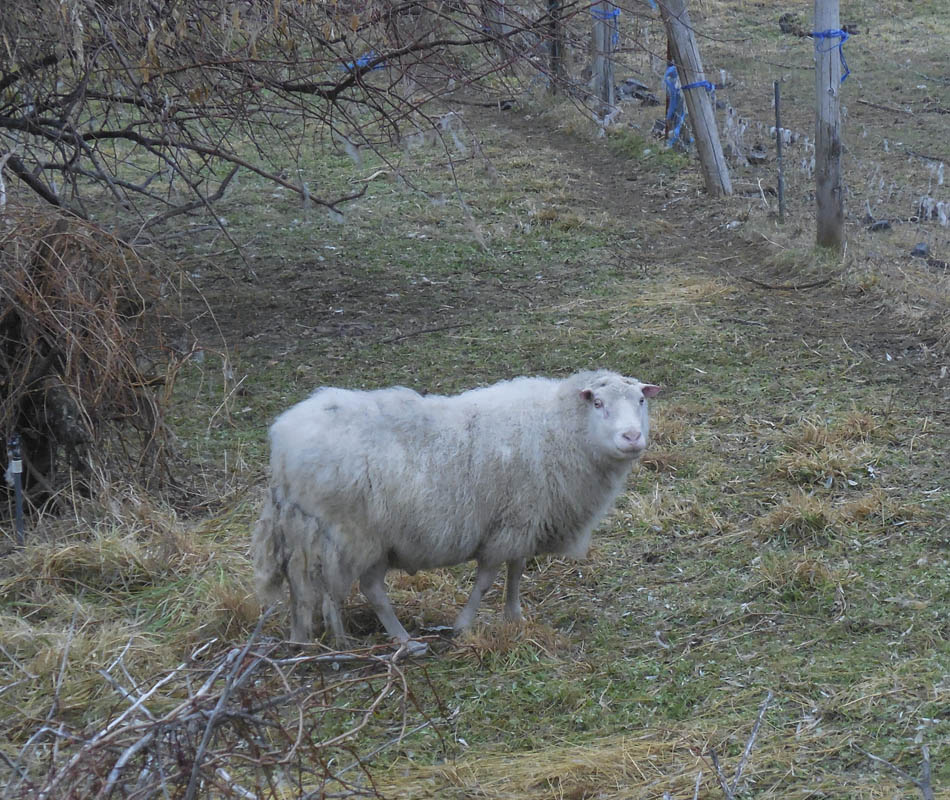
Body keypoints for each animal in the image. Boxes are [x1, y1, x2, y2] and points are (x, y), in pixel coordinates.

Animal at [252, 370, 660, 649]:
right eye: (598, 404)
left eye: (640, 401)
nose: (632, 437)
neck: (560, 427)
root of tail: (283, 442)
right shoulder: (508, 525)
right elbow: (486, 579)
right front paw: (464, 624)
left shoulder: (522, 521)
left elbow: (516, 571)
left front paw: (514, 616)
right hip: (346, 533)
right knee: (349, 589)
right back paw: (376, 642)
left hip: (335, 536)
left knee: (320, 588)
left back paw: (311, 638)